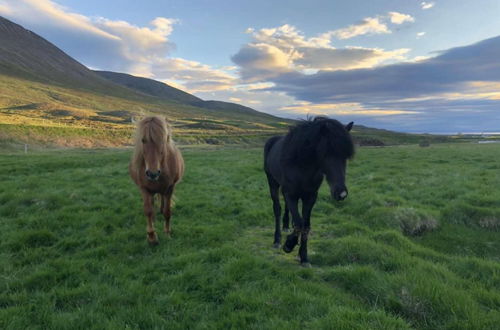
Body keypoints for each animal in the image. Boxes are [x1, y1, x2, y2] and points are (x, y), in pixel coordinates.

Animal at [129, 116, 184, 245]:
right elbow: (148, 211)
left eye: (163, 140)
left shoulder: (170, 188)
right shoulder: (144, 189)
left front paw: (167, 233)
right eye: (143, 140)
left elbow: (167, 211)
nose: (152, 173)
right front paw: (151, 236)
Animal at [264, 116, 354, 266]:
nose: (341, 194)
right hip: (273, 183)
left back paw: (286, 226)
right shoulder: (291, 195)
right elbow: (299, 223)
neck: (301, 166)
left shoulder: (310, 197)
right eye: (326, 153)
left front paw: (304, 257)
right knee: (277, 208)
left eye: (345, 156)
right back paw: (277, 240)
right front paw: (288, 245)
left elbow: (305, 225)